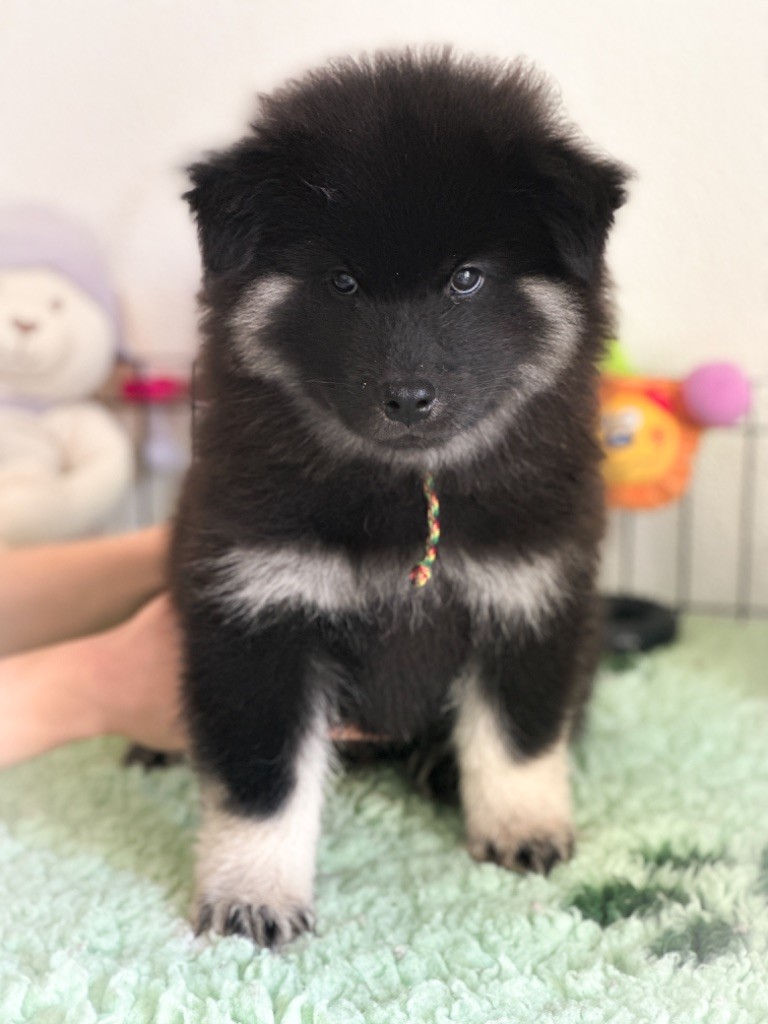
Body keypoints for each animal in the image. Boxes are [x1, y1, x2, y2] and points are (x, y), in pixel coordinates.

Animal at [171, 49, 628, 948]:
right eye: (342, 281)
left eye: (467, 279)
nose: (408, 398)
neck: (407, 494)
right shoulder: (254, 613)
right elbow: (262, 781)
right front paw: (253, 895)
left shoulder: (532, 596)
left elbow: (519, 737)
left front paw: (521, 827)